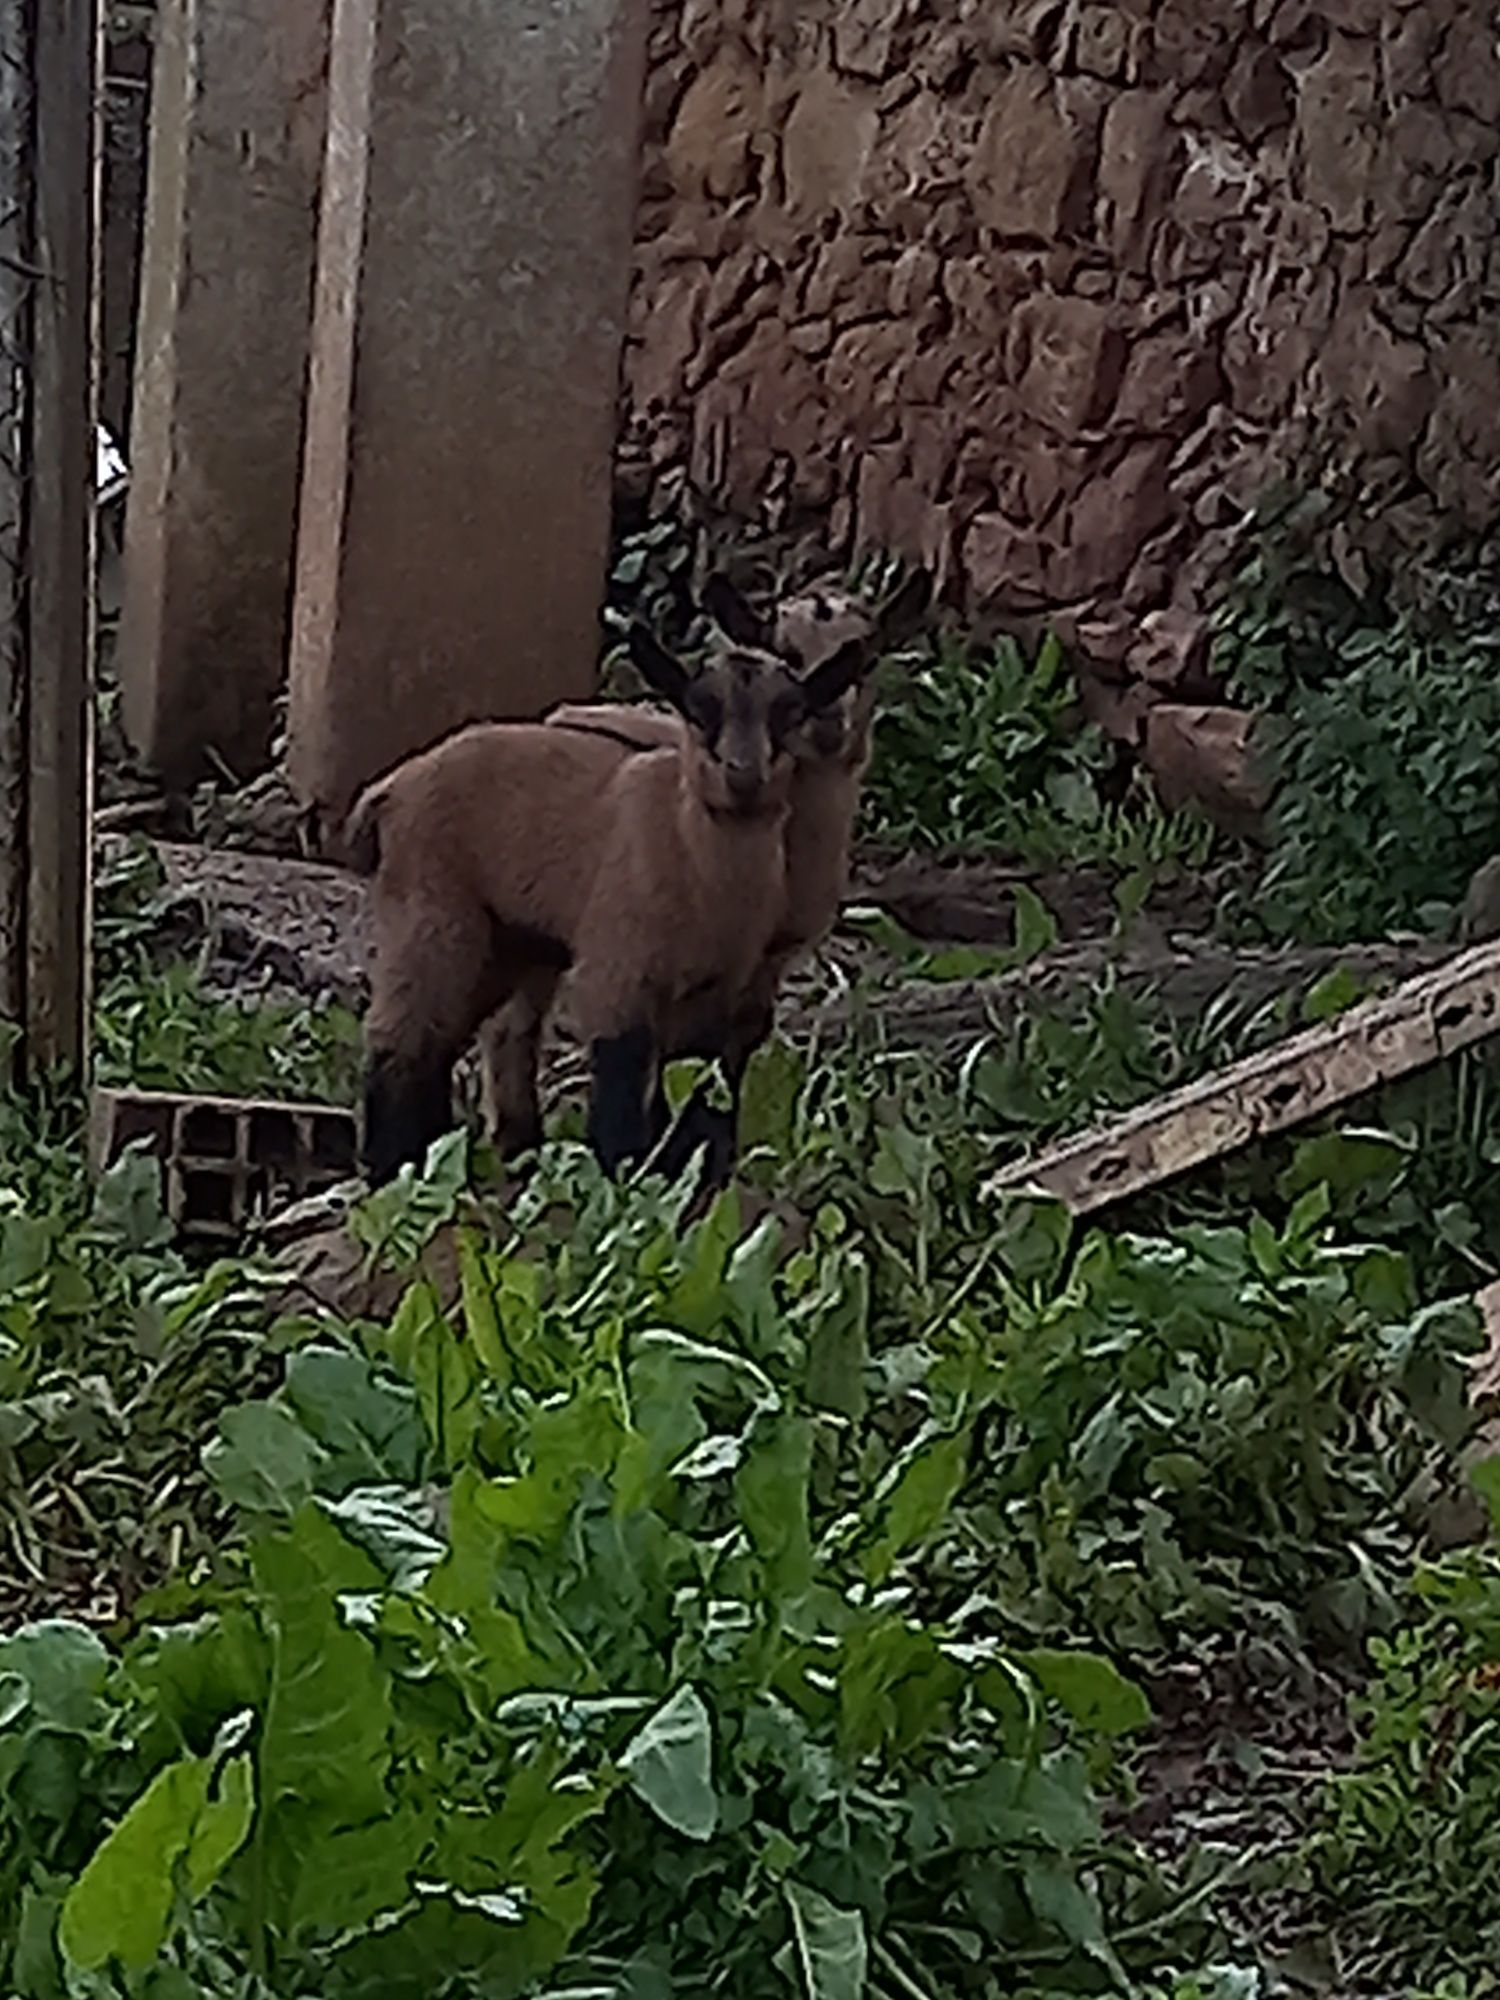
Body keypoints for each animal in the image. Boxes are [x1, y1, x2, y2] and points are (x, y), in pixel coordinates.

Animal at [350, 624, 868, 1176]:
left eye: (790, 713)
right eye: (698, 708)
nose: (743, 773)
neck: (692, 856)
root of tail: (390, 788)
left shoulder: (716, 987)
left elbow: (696, 1081)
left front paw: (691, 1168)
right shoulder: (618, 968)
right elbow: (621, 1078)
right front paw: (622, 1172)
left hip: (506, 938)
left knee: (441, 1040)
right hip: (433, 911)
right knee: (398, 1037)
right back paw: (390, 1167)